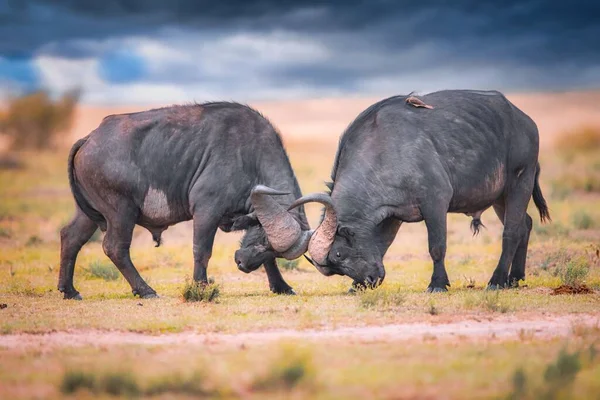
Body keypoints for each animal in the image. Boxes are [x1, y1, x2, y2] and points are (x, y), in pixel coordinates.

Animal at [58, 101, 312, 298]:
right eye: (263, 238)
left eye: (272, 247)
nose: (243, 264)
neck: (249, 156)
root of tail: (89, 138)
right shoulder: (206, 211)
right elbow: (202, 250)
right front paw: (201, 287)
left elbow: (268, 262)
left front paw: (282, 286)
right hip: (120, 212)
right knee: (114, 247)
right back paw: (145, 290)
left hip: (90, 213)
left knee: (71, 237)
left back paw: (69, 290)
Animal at [290, 90, 548, 290]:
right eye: (335, 268)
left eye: (338, 254)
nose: (369, 281)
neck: (383, 151)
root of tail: (525, 120)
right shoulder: (391, 215)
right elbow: (381, 246)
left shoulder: (435, 203)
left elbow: (437, 247)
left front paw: (437, 284)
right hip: (499, 197)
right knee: (524, 225)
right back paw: (514, 278)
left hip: (519, 183)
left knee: (511, 232)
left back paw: (497, 280)